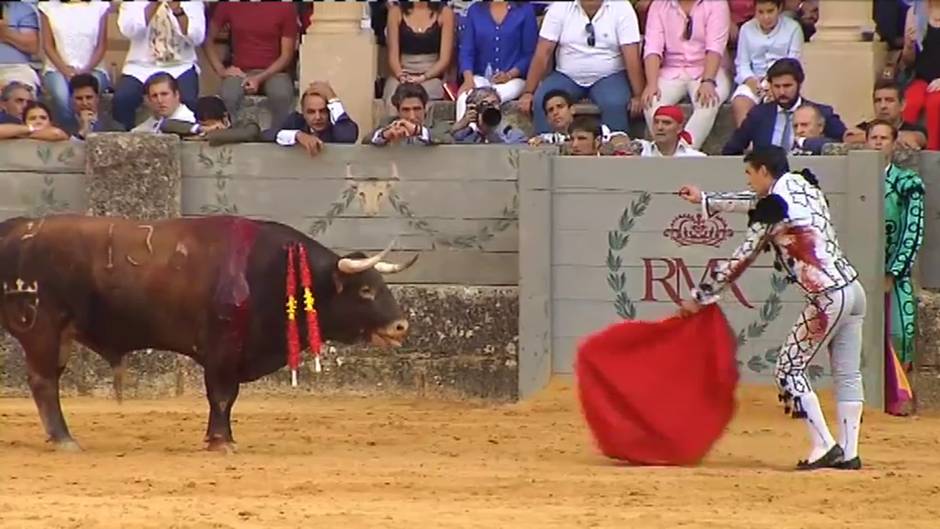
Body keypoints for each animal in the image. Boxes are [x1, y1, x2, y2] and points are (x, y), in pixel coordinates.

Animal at [0, 212, 414, 452]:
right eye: (365, 290)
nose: (401, 326)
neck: (270, 271)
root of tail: (15, 228)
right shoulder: (222, 350)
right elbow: (222, 396)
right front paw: (221, 442)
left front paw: (222, 438)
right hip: (42, 327)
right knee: (43, 383)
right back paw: (65, 440)